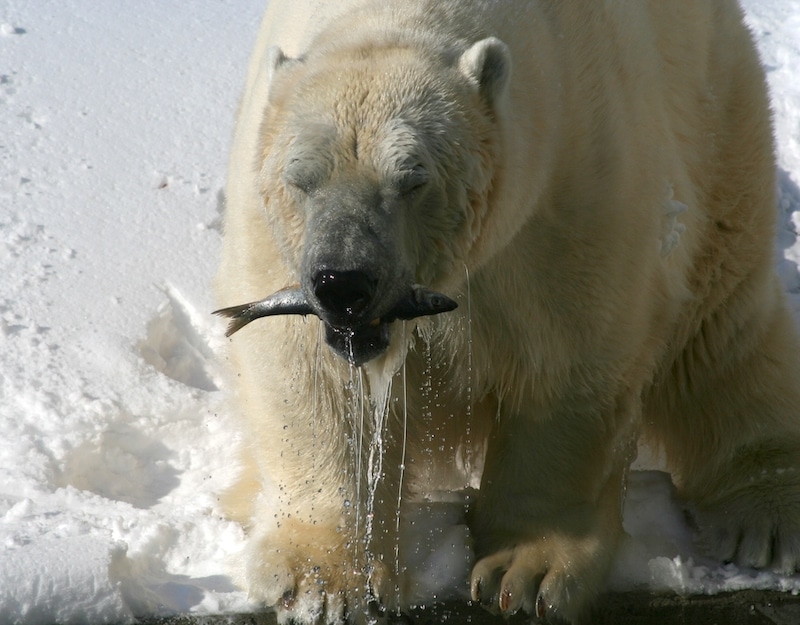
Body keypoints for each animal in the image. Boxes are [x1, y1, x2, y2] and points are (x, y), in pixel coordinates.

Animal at [216, 1, 800, 620]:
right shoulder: (273, 236)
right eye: (301, 178)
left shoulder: (567, 191)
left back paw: (767, 515)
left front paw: (524, 571)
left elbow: (568, 363)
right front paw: (320, 581)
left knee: (722, 320)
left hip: (715, 112)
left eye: (413, 179)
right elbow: (308, 377)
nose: (343, 283)